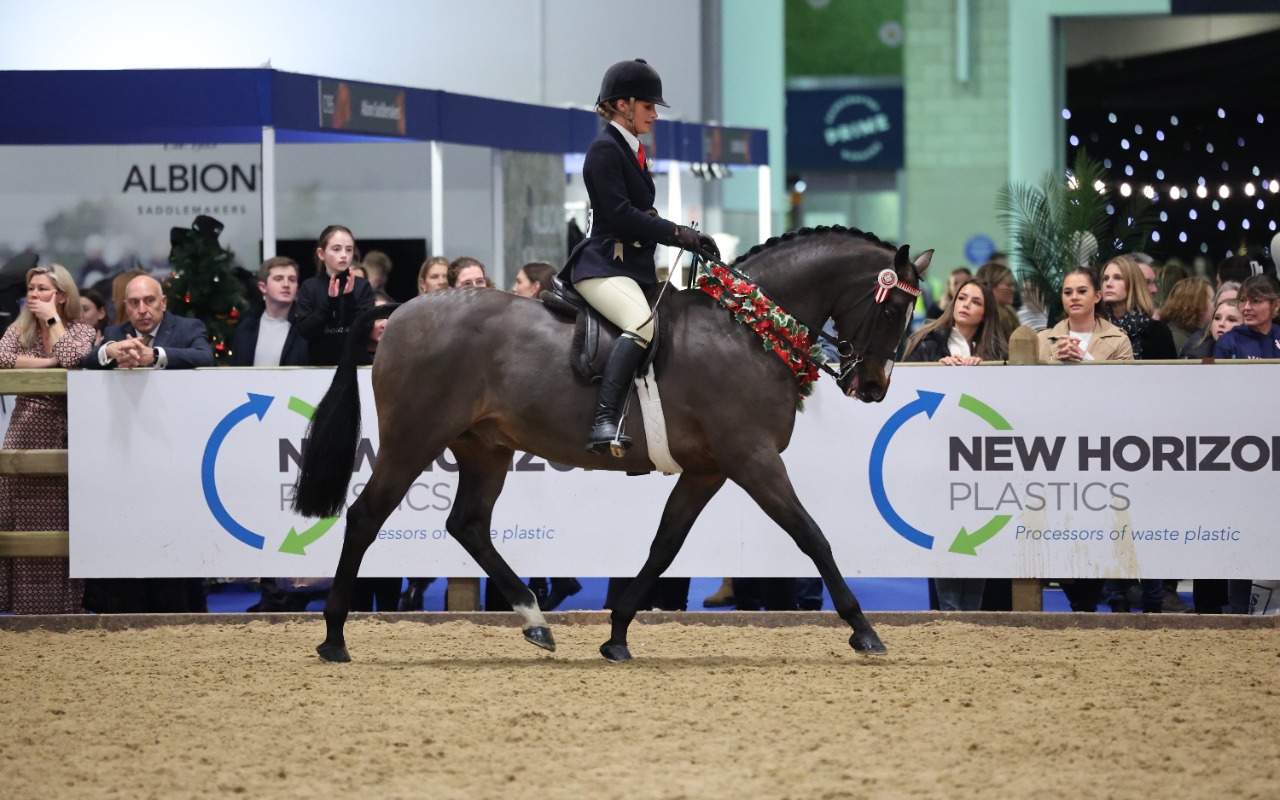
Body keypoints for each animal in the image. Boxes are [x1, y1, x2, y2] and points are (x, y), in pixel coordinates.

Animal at [293, 226, 931, 660]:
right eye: (895, 307)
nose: (873, 388)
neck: (750, 327)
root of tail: (399, 310)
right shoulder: (753, 459)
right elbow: (812, 536)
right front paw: (864, 629)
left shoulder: (709, 469)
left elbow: (664, 547)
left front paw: (618, 634)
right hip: (414, 439)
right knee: (365, 517)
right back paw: (334, 637)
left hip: (485, 448)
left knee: (468, 524)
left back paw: (534, 619)